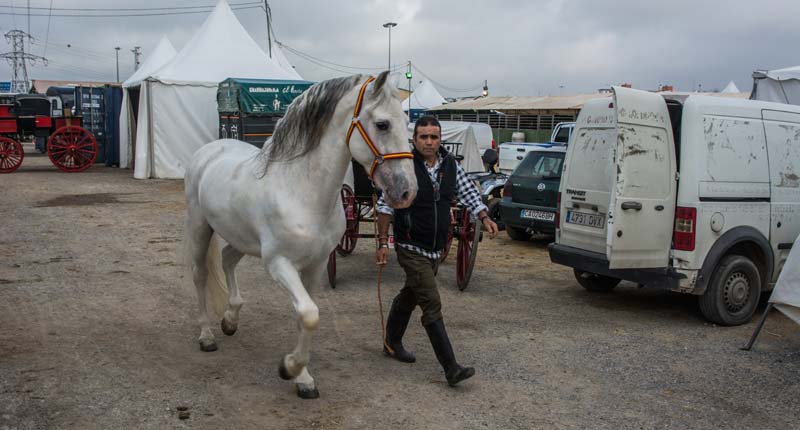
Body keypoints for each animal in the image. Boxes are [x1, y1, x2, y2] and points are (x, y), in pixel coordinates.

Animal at [184, 72, 416, 398]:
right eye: (383, 124)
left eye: (407, 120)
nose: (407, 191)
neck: (301, 191)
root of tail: (210, 149)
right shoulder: (279, 264)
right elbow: (309, 313)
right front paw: (288, 368)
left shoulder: (315, 265)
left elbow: (305, 318)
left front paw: (303, 379)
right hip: (200, 226)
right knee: (200, 274)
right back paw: (206, 336)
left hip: (241, 237)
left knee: (227, 258)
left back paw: (230, 320)